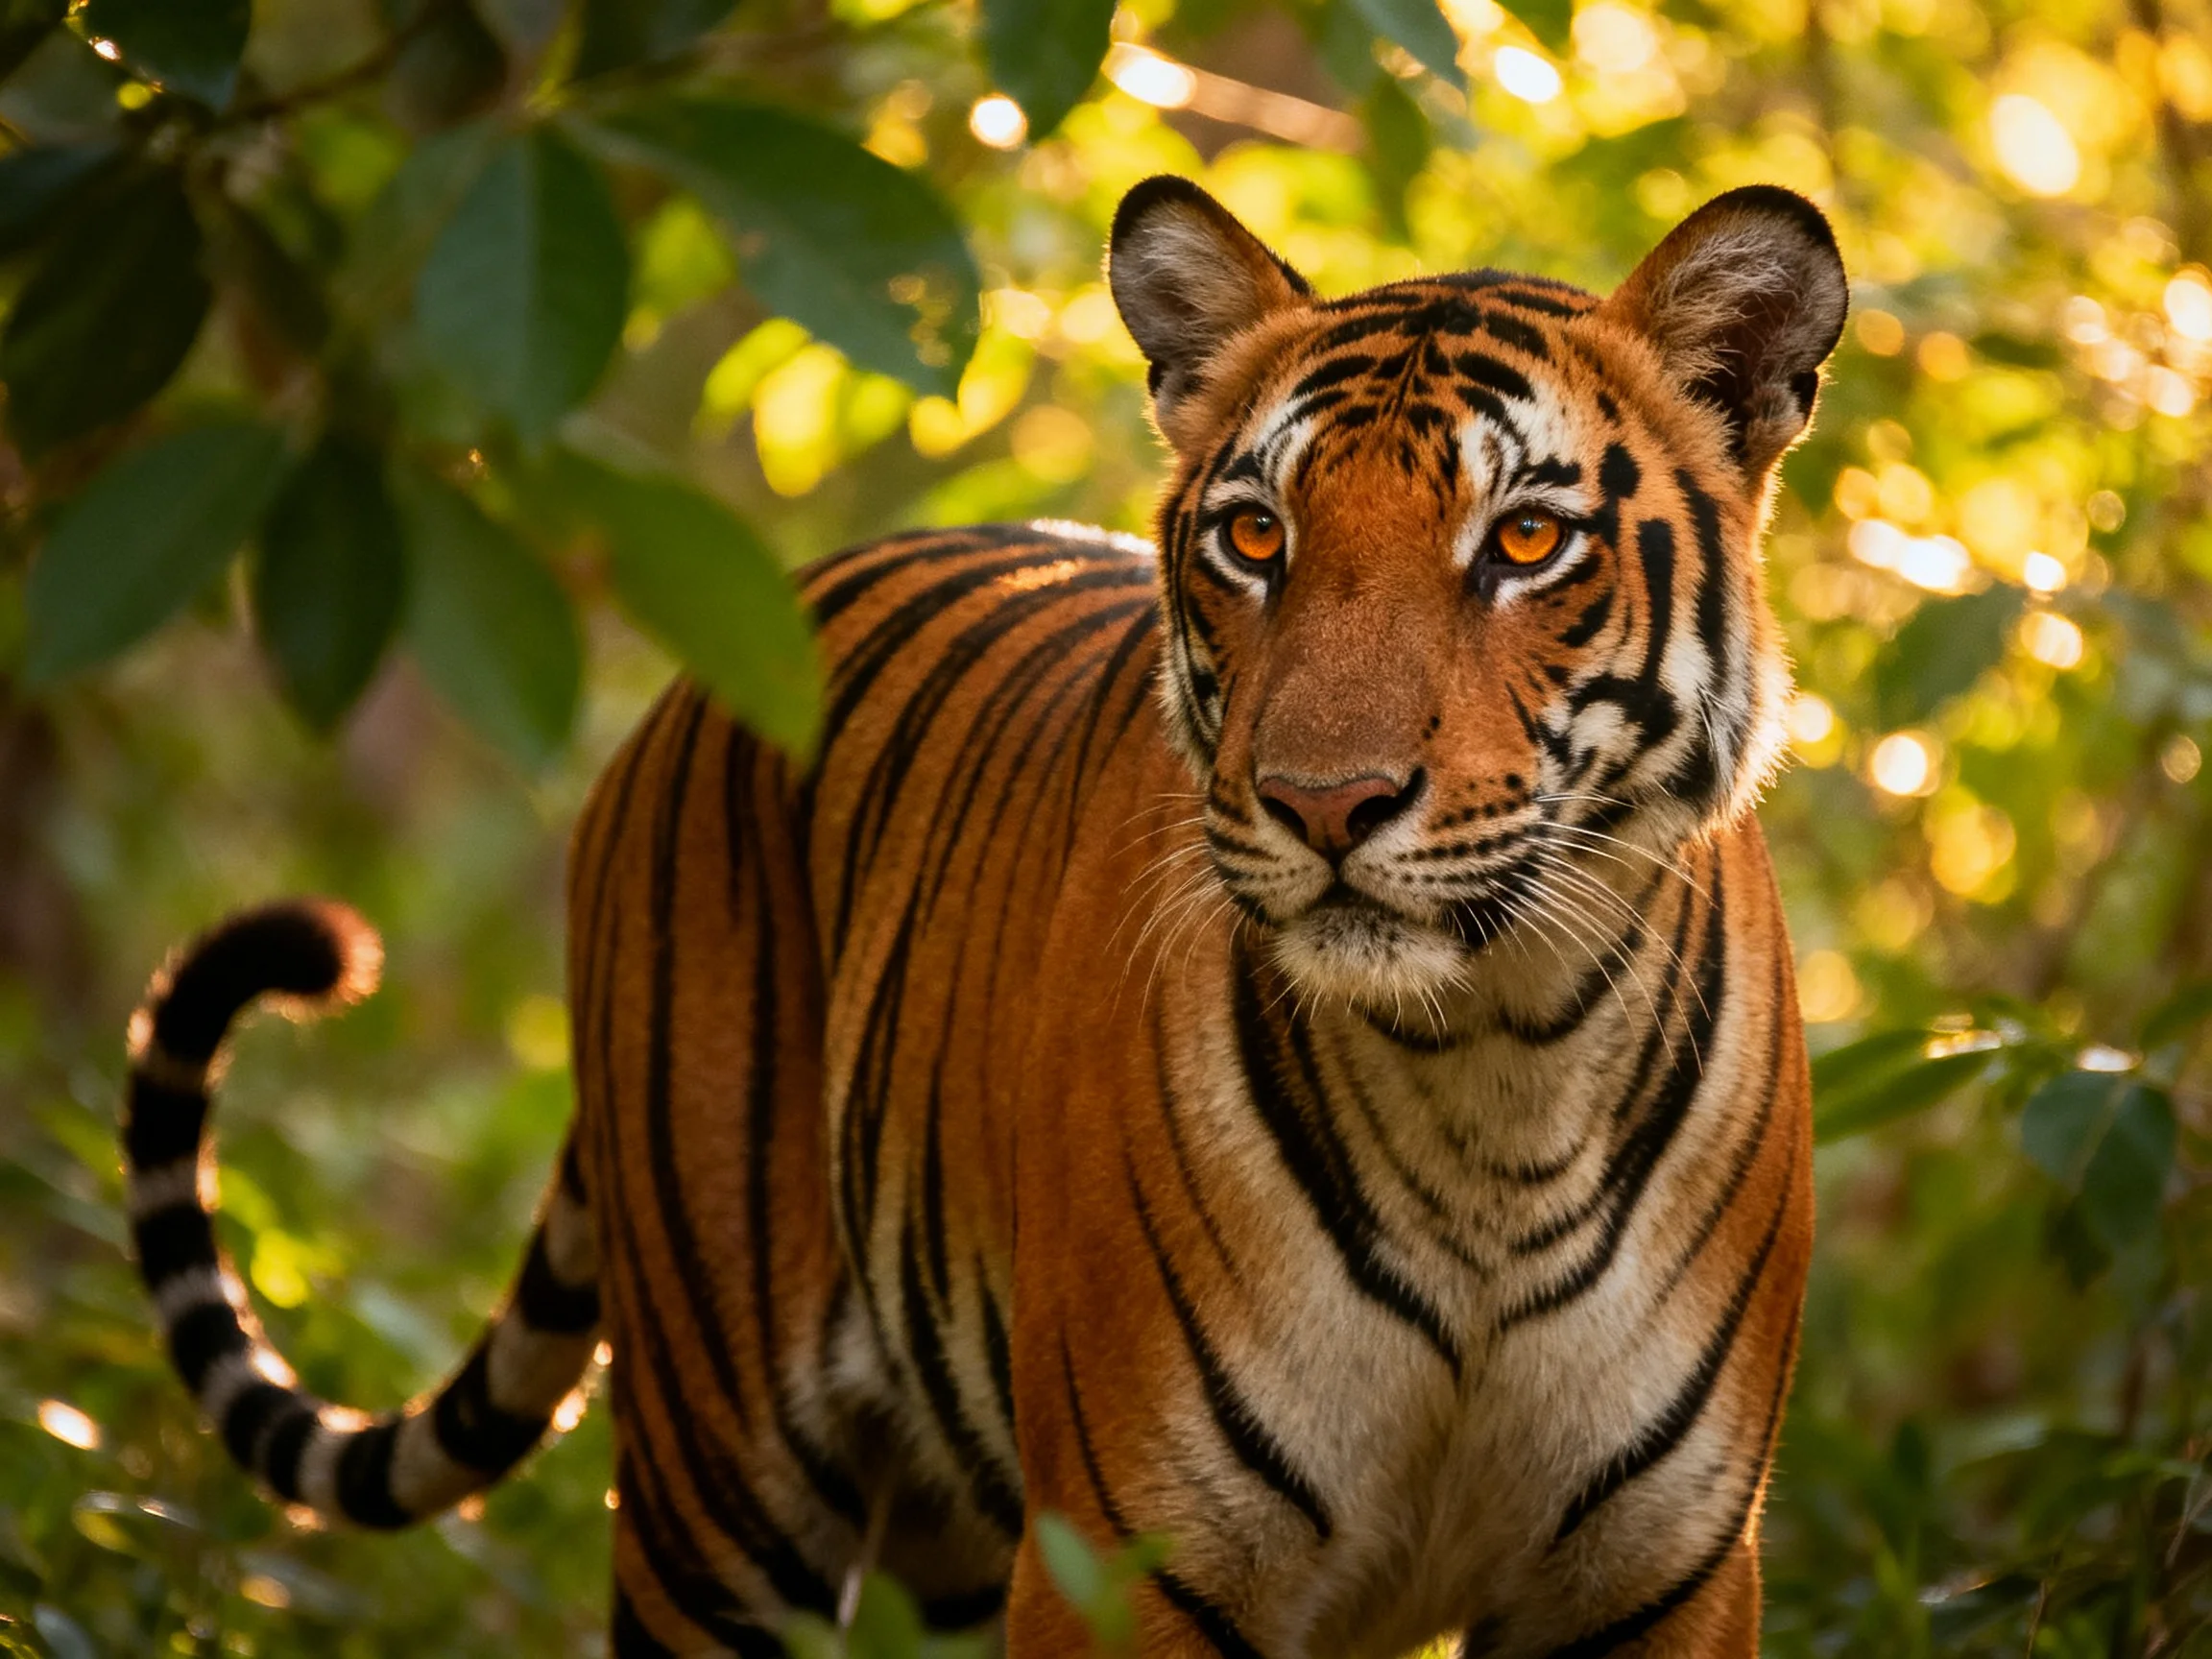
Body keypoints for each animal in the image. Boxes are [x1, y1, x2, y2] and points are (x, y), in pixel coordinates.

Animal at [121, 175, 1846, 1657]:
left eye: (1526, 541)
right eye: (1257, 535)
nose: (1323, 803)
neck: (1492, 1071)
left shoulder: (1662, 1574)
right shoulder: (1135, 1559)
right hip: (716, 1483)